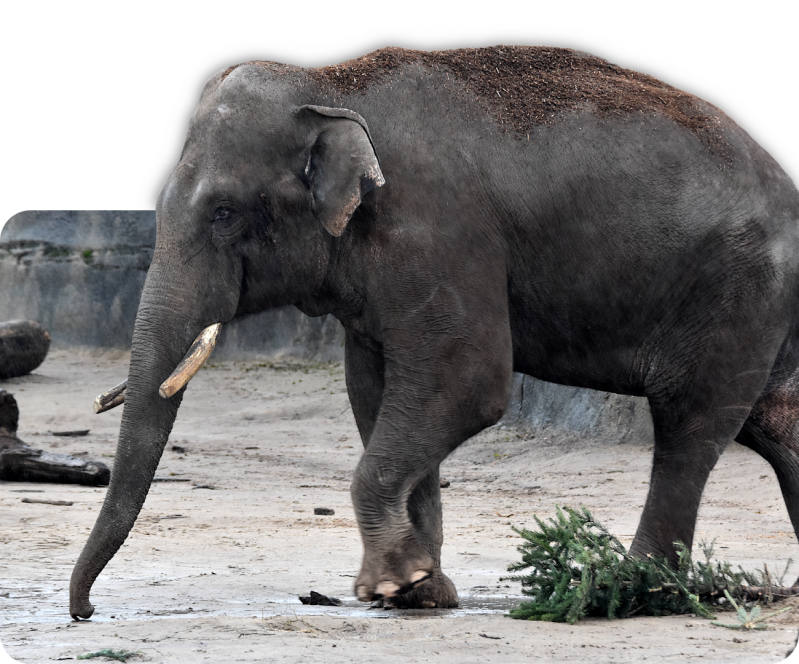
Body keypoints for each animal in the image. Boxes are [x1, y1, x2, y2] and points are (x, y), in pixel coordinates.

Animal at [69, 44, 799, 619]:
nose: (85, 611)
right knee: (776, 427)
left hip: (736, 293)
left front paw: (389, 585)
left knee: (690, 424)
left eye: (222, 212)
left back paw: (630, 590)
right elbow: (375, 392)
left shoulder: (438, 232)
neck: (331, 85)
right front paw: (420, 589)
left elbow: (467, 380)